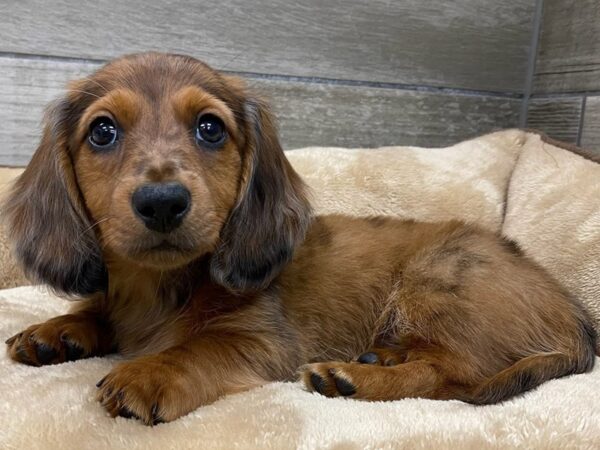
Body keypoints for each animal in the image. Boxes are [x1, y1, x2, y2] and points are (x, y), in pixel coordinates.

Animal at [3, 52, 596, 426]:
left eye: (210, 128)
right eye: (102, 131)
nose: (163, 202)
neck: (161, 286)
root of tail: (575, 316)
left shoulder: (263, 340)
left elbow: (196, 347)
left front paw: (150, 372)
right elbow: (95, 307)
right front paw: (57, 330)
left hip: (441, 275)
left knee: (455, 376)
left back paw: (351, 377)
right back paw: (379, 358)